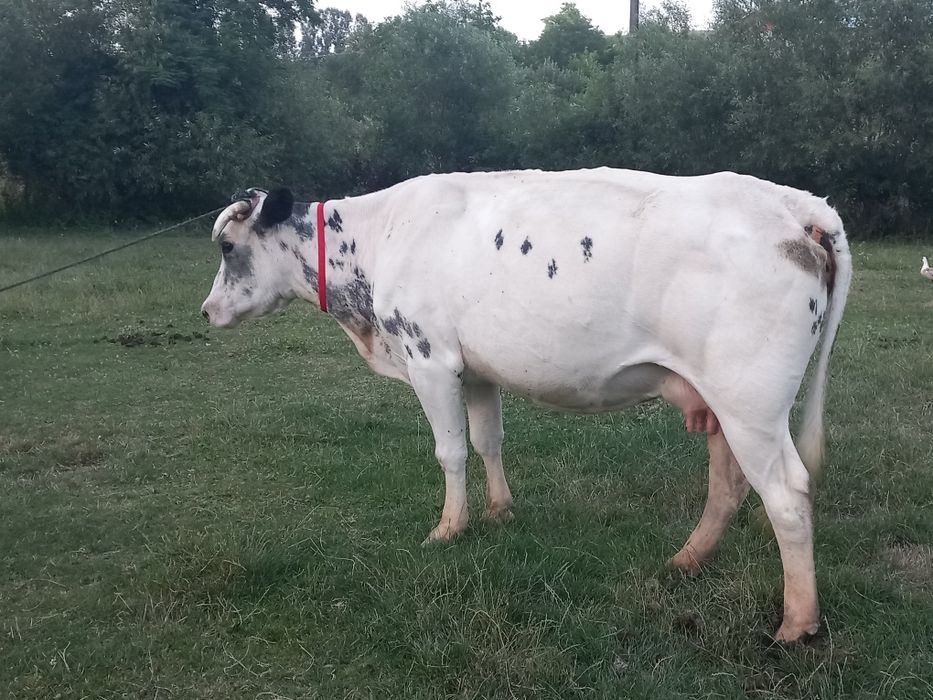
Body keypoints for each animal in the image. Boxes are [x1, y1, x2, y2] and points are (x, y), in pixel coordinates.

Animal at [200, 168, 851, 643]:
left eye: (229, 246)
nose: (206, 312)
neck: (376, 239)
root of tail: (796, 204)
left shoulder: (429, 358)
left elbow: (450, 451)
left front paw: (449, 528)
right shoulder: (476, 370)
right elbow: (488, 439)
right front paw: (500, 511)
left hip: (752, 402)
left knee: (786, 495)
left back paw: (797, 624)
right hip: (722, 402)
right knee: (727, 484)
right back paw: (686, 561)